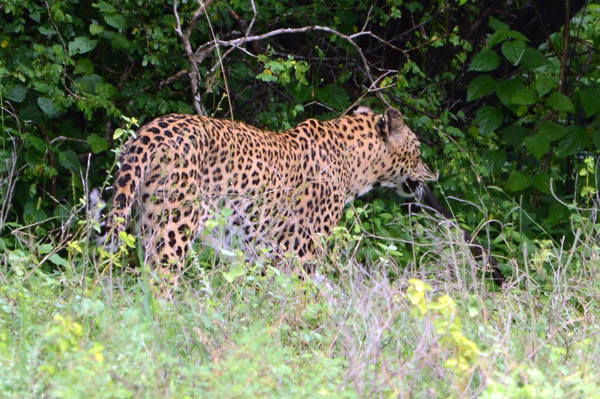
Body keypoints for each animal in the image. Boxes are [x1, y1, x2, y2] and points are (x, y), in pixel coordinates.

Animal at [92, 106, 432, 294]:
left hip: (144, 224)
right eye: (417, 150)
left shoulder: (266, 254)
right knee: (160, 284)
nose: (430, 175)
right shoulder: (301, 253)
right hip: (174, 229)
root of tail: (151, 130)